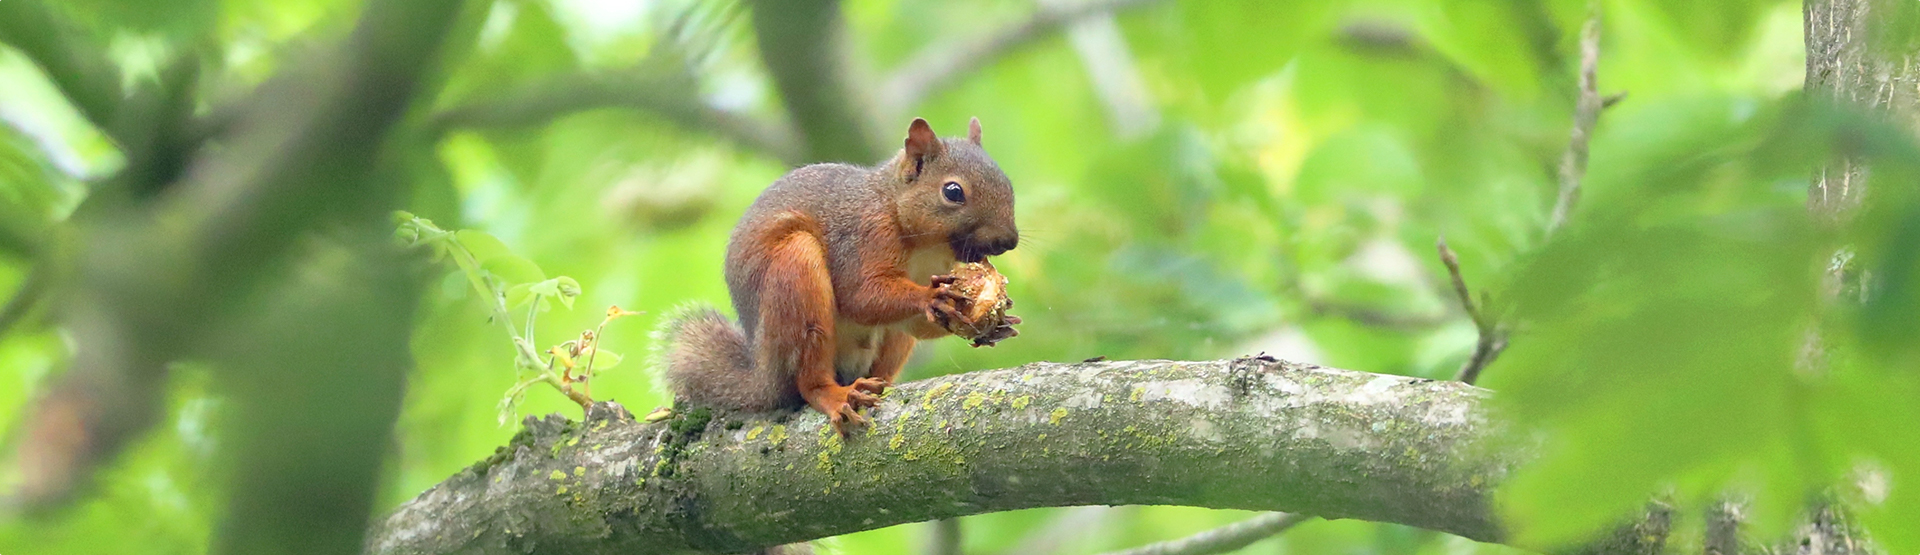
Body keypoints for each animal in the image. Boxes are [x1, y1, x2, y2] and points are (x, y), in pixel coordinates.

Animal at [656, 116, 1021, 434]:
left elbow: (916, 324)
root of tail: (764, 374)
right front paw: (930, 296)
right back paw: (835, 394)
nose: (1008, 241)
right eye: (953, 192)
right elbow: (859, 295)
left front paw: (997, 322)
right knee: (809, 380)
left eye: (1008, 185)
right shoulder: (862, 235)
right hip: (796, 280)